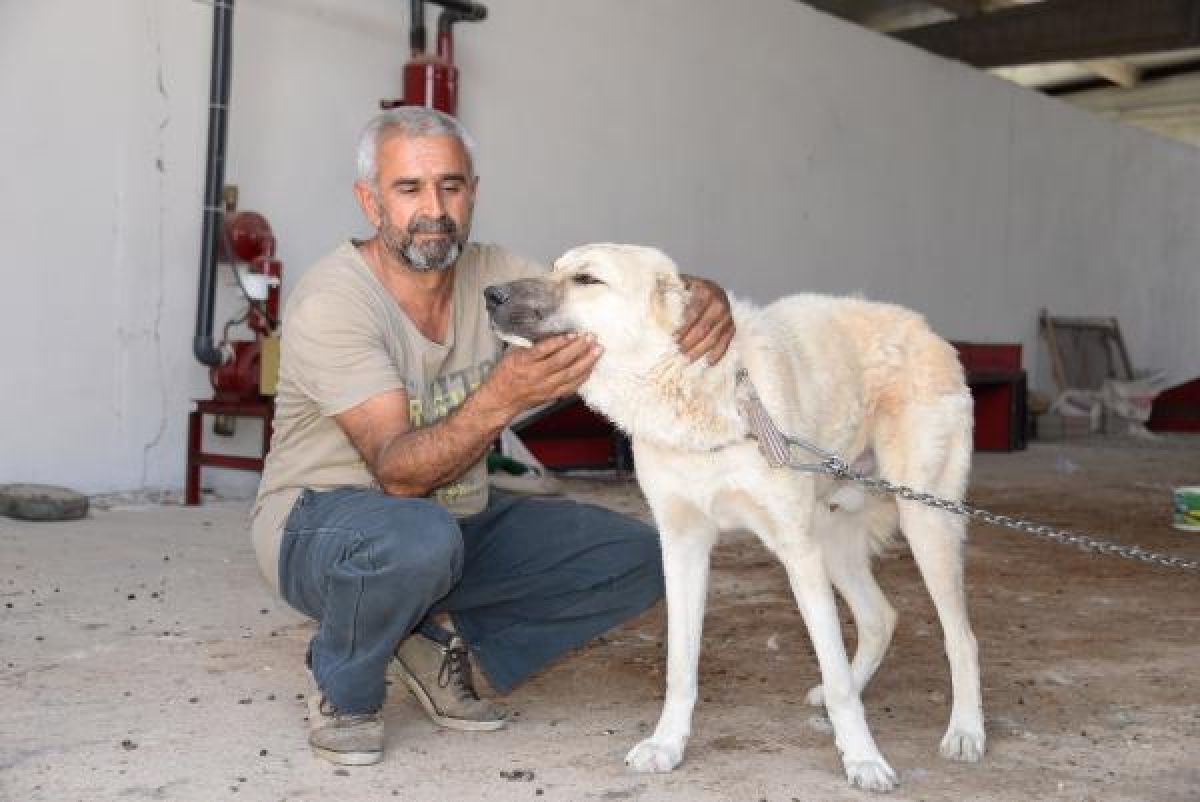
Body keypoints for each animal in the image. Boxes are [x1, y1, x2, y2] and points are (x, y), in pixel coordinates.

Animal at [484, 242, 984, 787]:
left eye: (586, 279)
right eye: (553, 269)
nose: (491, 294)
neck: (691, 390)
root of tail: (924, 327)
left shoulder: (795, 549)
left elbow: (834, 671)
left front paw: (863, 758)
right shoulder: (682, 547)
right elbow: (680, 668)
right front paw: (666, 744)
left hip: (923, 521)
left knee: (961, 636)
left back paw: (966, 730)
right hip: (831, 539)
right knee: (880, 617)